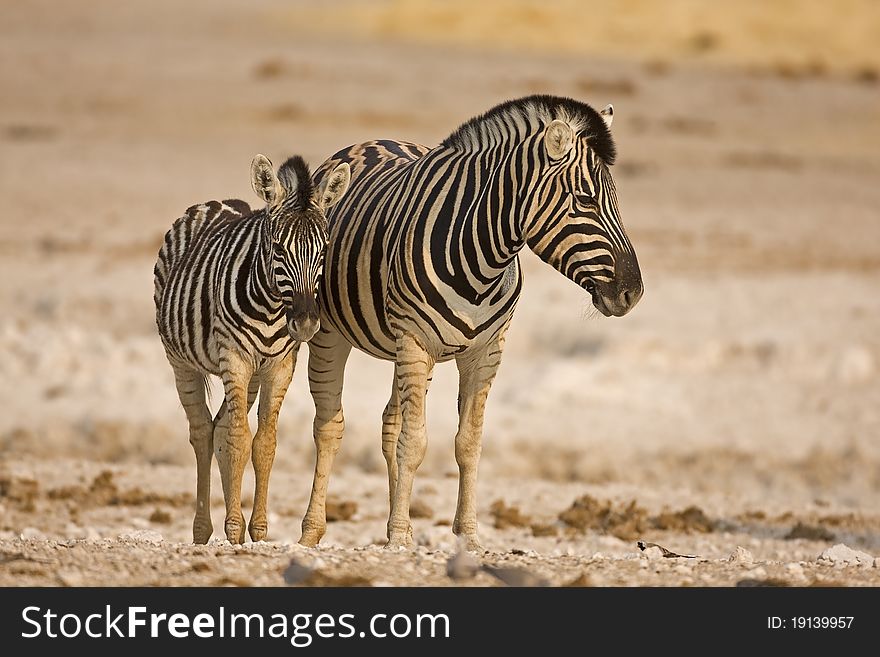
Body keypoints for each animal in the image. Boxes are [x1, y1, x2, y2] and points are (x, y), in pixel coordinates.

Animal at [155, 154, 350, 544]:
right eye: (278, 248)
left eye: (323, 249)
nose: (306, 324)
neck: (273, 307)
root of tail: (219, 201)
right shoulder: (235, 359)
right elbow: (237, 440)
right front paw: (234, 530)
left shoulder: (279, 367)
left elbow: (263, 444)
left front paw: (258, 531)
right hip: (181, 361)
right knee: (203, 432)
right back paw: (202, 530)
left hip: (252, 377)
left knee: (219, 427)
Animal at [306, 96, 644, 548]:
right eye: (585, 200)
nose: (633, 292)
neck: (483, 259)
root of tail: (368, 142)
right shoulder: (415, 341)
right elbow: (415, 442)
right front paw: (399, 541)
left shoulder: (486, 351)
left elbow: (467, 443)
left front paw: (465, 536)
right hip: (333, 335)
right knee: (329, 427)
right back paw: (313, 532)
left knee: (389, 424)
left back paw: (403, 525)